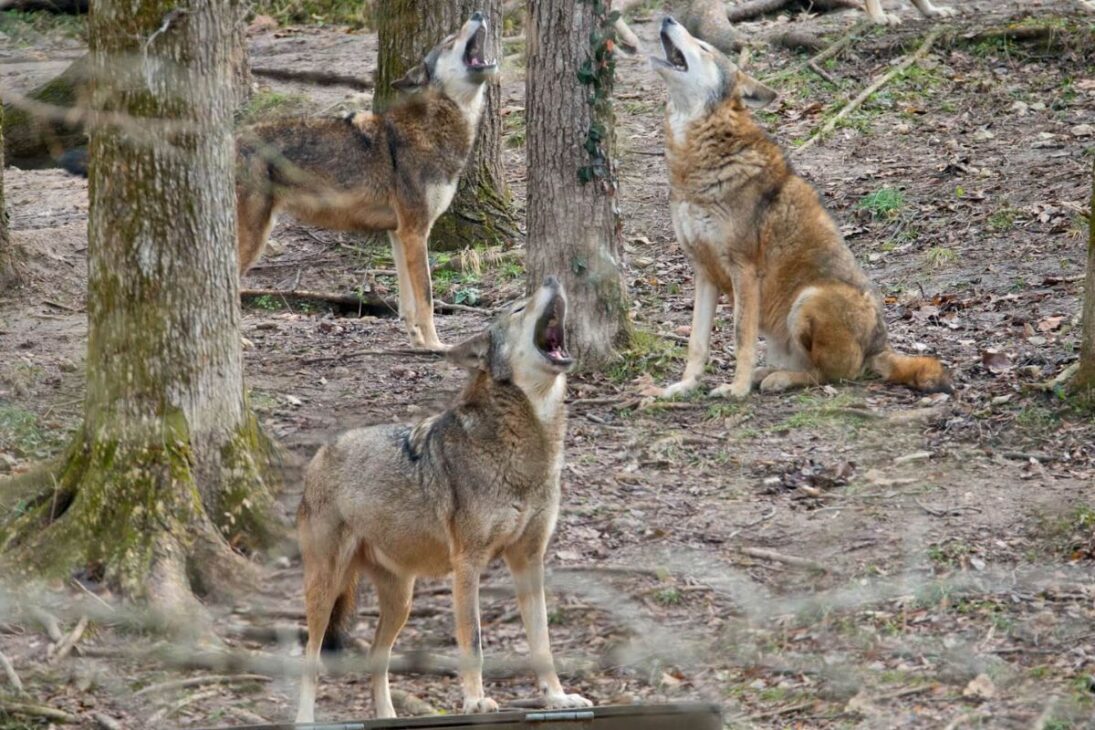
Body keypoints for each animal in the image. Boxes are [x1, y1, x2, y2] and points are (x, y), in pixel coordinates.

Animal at [235, 12, 496, 350]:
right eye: (450, 40)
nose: (479, 13)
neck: (433, 128)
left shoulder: (400, 234)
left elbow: (408, 303)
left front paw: (417, 342)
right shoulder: (416, 232)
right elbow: (426, 299)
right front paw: (437, 346)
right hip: (254, 238)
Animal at [294, 276, 592, 722]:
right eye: (519, 308)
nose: (552, 279)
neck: (527, 447)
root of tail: (320, 454)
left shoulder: (529, 560)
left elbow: (543, 643)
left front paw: (557, 697)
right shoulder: (467, 563)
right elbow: (474, 641)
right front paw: (475, 700)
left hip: (401, 600)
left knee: (377, 658)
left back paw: (388, 717)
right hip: (326, 590)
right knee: (311, 658)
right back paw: (305, 720)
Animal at [647, 17, 953, 400]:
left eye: (703, 46)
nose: (667, 18)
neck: (696, 161)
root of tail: (879, 348)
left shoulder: (744, 270)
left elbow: (740, 337)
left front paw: (736, 390)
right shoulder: (703, 273)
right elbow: (697, 342)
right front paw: (681, 387)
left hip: (809, 299)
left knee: (834, 375)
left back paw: (776, 380)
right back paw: (768, 374)